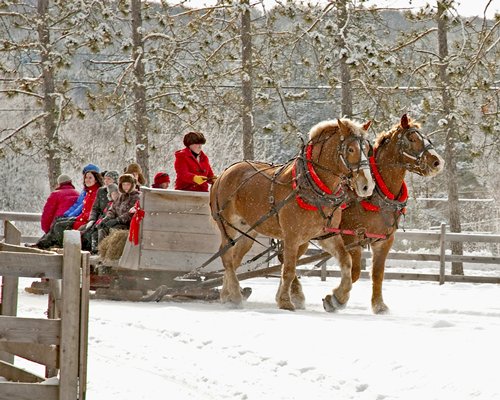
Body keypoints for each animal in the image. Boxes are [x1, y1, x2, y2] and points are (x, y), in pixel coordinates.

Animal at [210, 117, 376, 310]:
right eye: (350, 149)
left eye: (367, 149)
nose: (367, 186)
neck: (312, 185)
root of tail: (223, 174)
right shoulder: (291, 236)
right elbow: (288, 269)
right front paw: (285, 301)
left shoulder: (326, 236)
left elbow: (346, 261)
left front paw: (337, 298)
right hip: (227, 225)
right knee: (226, 257)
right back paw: (235, 295)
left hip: (247, 231)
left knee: (234, 259)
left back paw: (226, 294)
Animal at [310, 114, 444, 314]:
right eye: (412, 138)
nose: (438, 162)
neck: (377, 193)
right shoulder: (351, 237)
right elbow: (354, 272)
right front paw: (335, 298)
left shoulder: (384, 241)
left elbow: (377, 274)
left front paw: (379, 305)